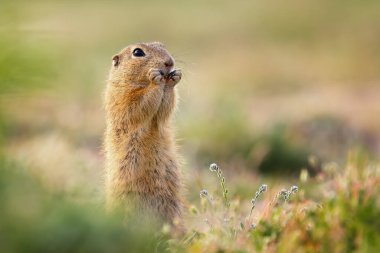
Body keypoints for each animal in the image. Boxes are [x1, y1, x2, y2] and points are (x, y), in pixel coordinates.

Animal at [104, 41, 184, 225]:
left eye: (162, 45)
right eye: (138, 52)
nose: (169, 62)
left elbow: (165, 107)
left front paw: (174, 77)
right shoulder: (122, 97)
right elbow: (138, 105)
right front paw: (155, 79)